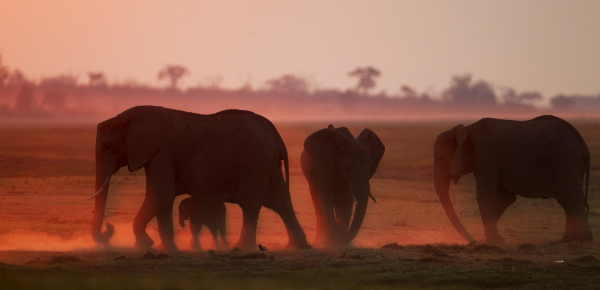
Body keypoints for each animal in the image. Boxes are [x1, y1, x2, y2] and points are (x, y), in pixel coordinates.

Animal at [91, 105, 312, 250]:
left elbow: (161, 195)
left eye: (108, 146)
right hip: (267, 165)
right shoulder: (159, 154)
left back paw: (241, 249)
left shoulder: (162, 154)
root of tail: (278, 138)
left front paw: (146, 244)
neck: (129, 116)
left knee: (250, 205)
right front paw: (167, 250)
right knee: (281, 202)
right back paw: (298, 247)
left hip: (256, 164)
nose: (109, 227)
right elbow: (163, 200)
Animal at [434, 115, 592, 245]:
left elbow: (485, 197)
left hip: (565, 162)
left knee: (570, 197)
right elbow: (506, 198)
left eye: (439, 158)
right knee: (568, 202)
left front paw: (494, 241)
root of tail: (584, 147)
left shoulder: (486, 158)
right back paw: (568, 240)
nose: (473, 241)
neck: (466, 130)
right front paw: (493, 239)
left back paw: (580, 240)